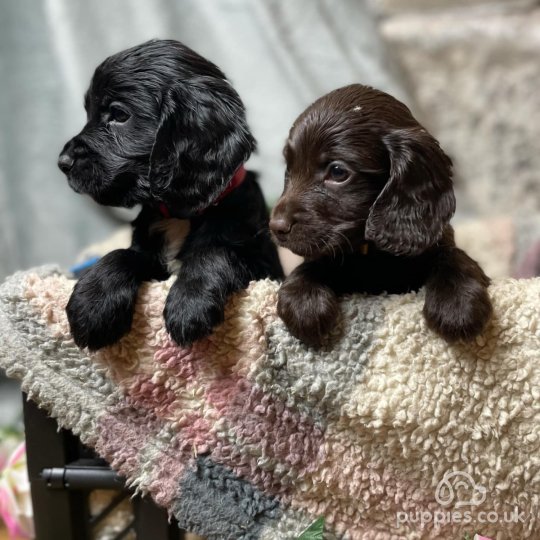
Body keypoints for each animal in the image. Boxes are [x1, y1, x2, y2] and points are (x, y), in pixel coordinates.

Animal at [59, 39, 282, 350]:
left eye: (119, 115)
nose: (63, 162)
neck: (180, 214)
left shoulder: (265, 267)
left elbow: (217, 251)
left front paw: (190, 304)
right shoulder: (151, 259)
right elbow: (120, 255)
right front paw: (92, 305)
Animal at [270, 83, 494, 348]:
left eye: (337, 172)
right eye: (289, 168)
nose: (276, 227)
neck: (372, 252)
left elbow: (453, 256)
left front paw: (457, 304)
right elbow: (313, 262)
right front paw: (304, 301)